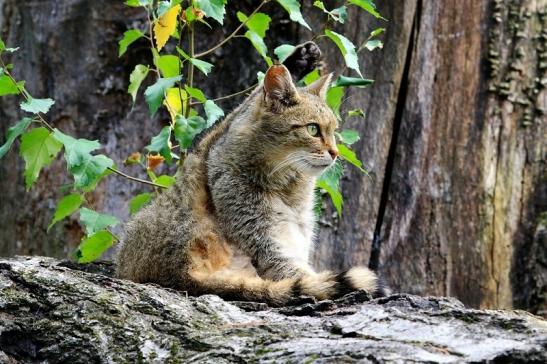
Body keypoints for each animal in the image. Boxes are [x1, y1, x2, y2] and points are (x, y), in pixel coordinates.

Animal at [117, 44, 388, 306]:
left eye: (334, 131)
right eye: (313, 129)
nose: (335, 153)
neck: (292, 185)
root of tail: (182, 274)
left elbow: (244, 103)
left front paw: (298, 59)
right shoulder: (263, 238)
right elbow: (295, 271)